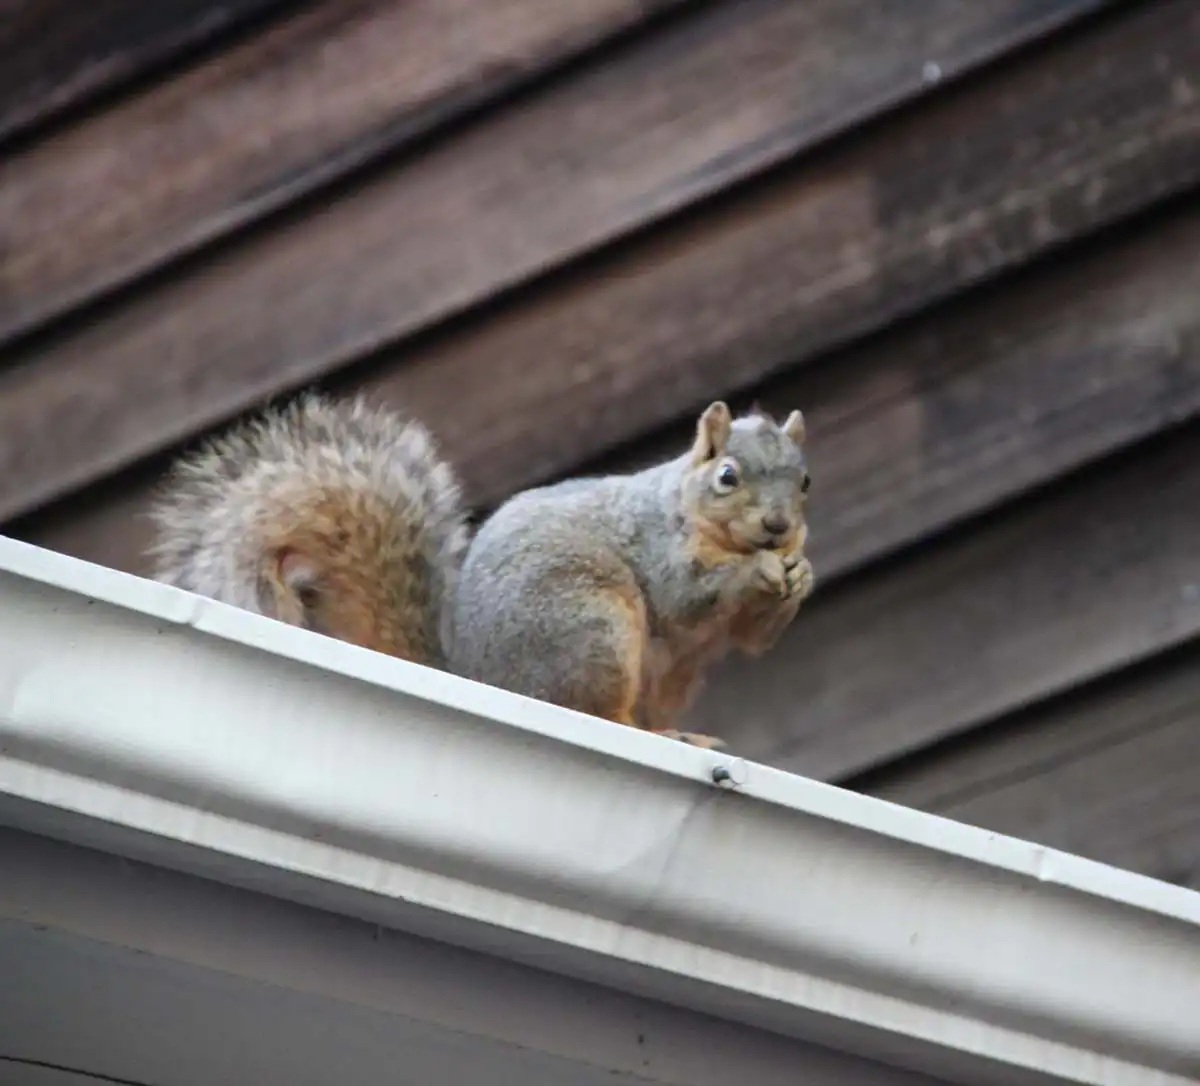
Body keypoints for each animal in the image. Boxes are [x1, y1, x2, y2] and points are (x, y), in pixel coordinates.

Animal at [448, 401, 814, 749]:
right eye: (726, 476)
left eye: (805, 482)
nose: (777, 525)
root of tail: (476, 675)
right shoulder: (660, 551)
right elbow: (686, 597)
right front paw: (758, 567)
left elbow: (752, 635)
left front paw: (802, 575)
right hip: (588, 631)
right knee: (598, 713)